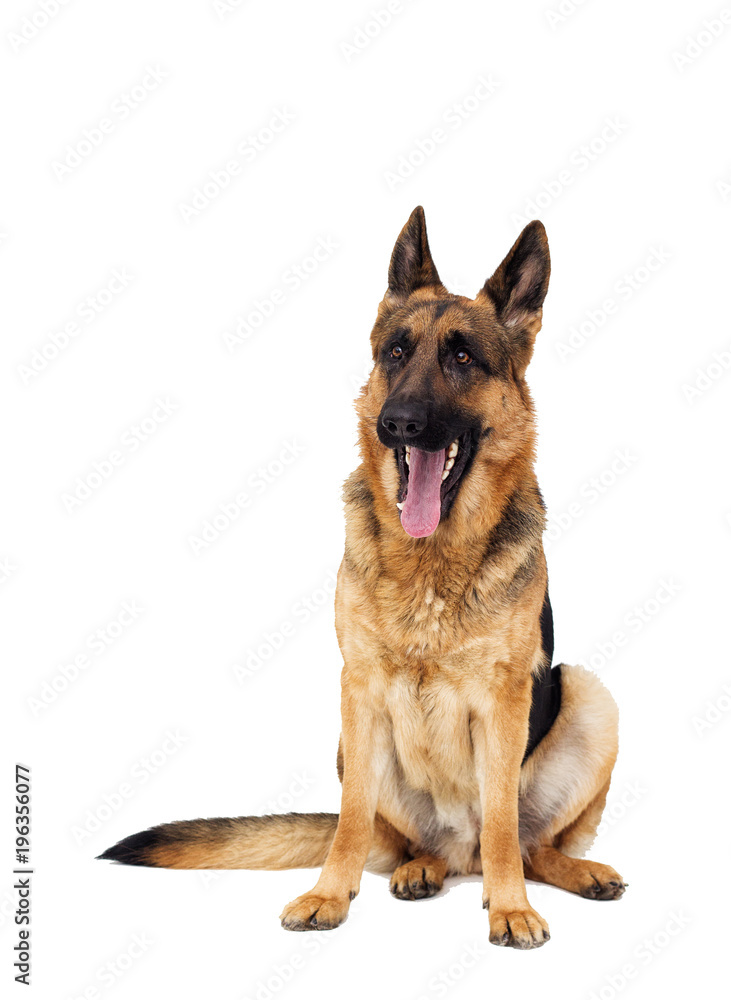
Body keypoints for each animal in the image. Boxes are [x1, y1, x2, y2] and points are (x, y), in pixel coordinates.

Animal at [101, 209, 628, 944]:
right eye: (396, 353)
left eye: (462, 358)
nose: (397, 423)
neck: (430, 563)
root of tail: (458, 852)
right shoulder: (359, 689)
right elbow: (349, 818)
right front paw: (330, 893)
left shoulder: (503, 702)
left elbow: (501, 821)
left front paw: (511, 907)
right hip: (355, 747)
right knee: (417, 844)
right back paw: (420, 870)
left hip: (588, 694)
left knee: (528, 844)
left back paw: (567, 873)